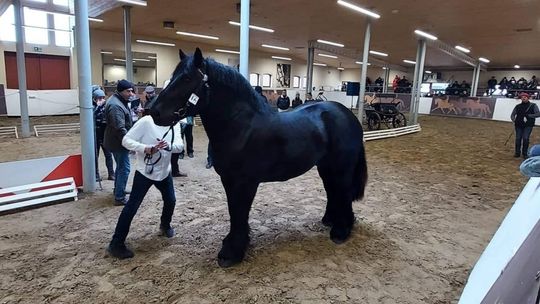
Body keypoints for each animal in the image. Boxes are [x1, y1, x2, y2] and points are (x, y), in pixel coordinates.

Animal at [149, 48, 368, 268]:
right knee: (333, 191)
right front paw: (235, 244)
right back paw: (330, 220)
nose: (153, 111)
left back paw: (341, 231)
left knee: (343, 191)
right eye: (173, 77)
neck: (241, 127)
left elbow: (239, 211)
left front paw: (232, 252)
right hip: (326, 167)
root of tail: (347, 115)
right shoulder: (228, 180)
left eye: (186, 78)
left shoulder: (245, 182)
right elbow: (234, 211)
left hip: (341, 167)